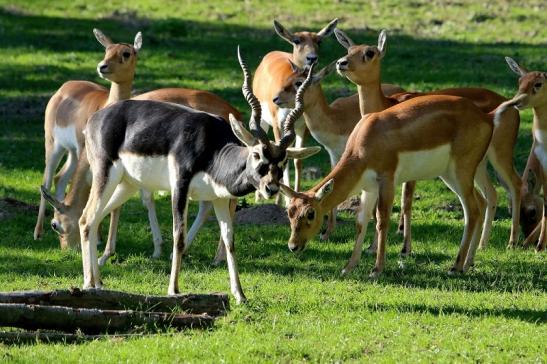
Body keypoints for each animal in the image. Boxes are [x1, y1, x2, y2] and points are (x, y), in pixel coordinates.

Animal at [33, 29, 163, 253]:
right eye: (106, 50)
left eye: (127, 53)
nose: (102, 66)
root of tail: (65, 87)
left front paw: (101, 239)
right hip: (54, 146)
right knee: (47, 179)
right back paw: (37, 233)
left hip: (74, 153)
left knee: (60, 177)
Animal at [77, 49, 322, 304]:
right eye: (256, 154)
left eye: (283, 161)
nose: (271, 189)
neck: (212, 150)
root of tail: (95, 119)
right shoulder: (180, 186)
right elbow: (179, 236)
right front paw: (173, 289)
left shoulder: (219, 199)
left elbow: (229, 240)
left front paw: (240, 294)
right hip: (105, 175)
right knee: (86, 219)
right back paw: (88, 283)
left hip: (126, 185)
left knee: (94, 219)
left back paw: (98, 282)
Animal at [334, 28, 524, 253]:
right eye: (350, 49)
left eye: (369, 52)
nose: (341, 62)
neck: (386, 105)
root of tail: (506, 106)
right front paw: (374, 247)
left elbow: (406, 202)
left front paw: (405, 247)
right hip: (478, 164)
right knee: (491, 194)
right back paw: (482, 245)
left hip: (500, 155)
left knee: (515, 185)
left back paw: (512, 243)